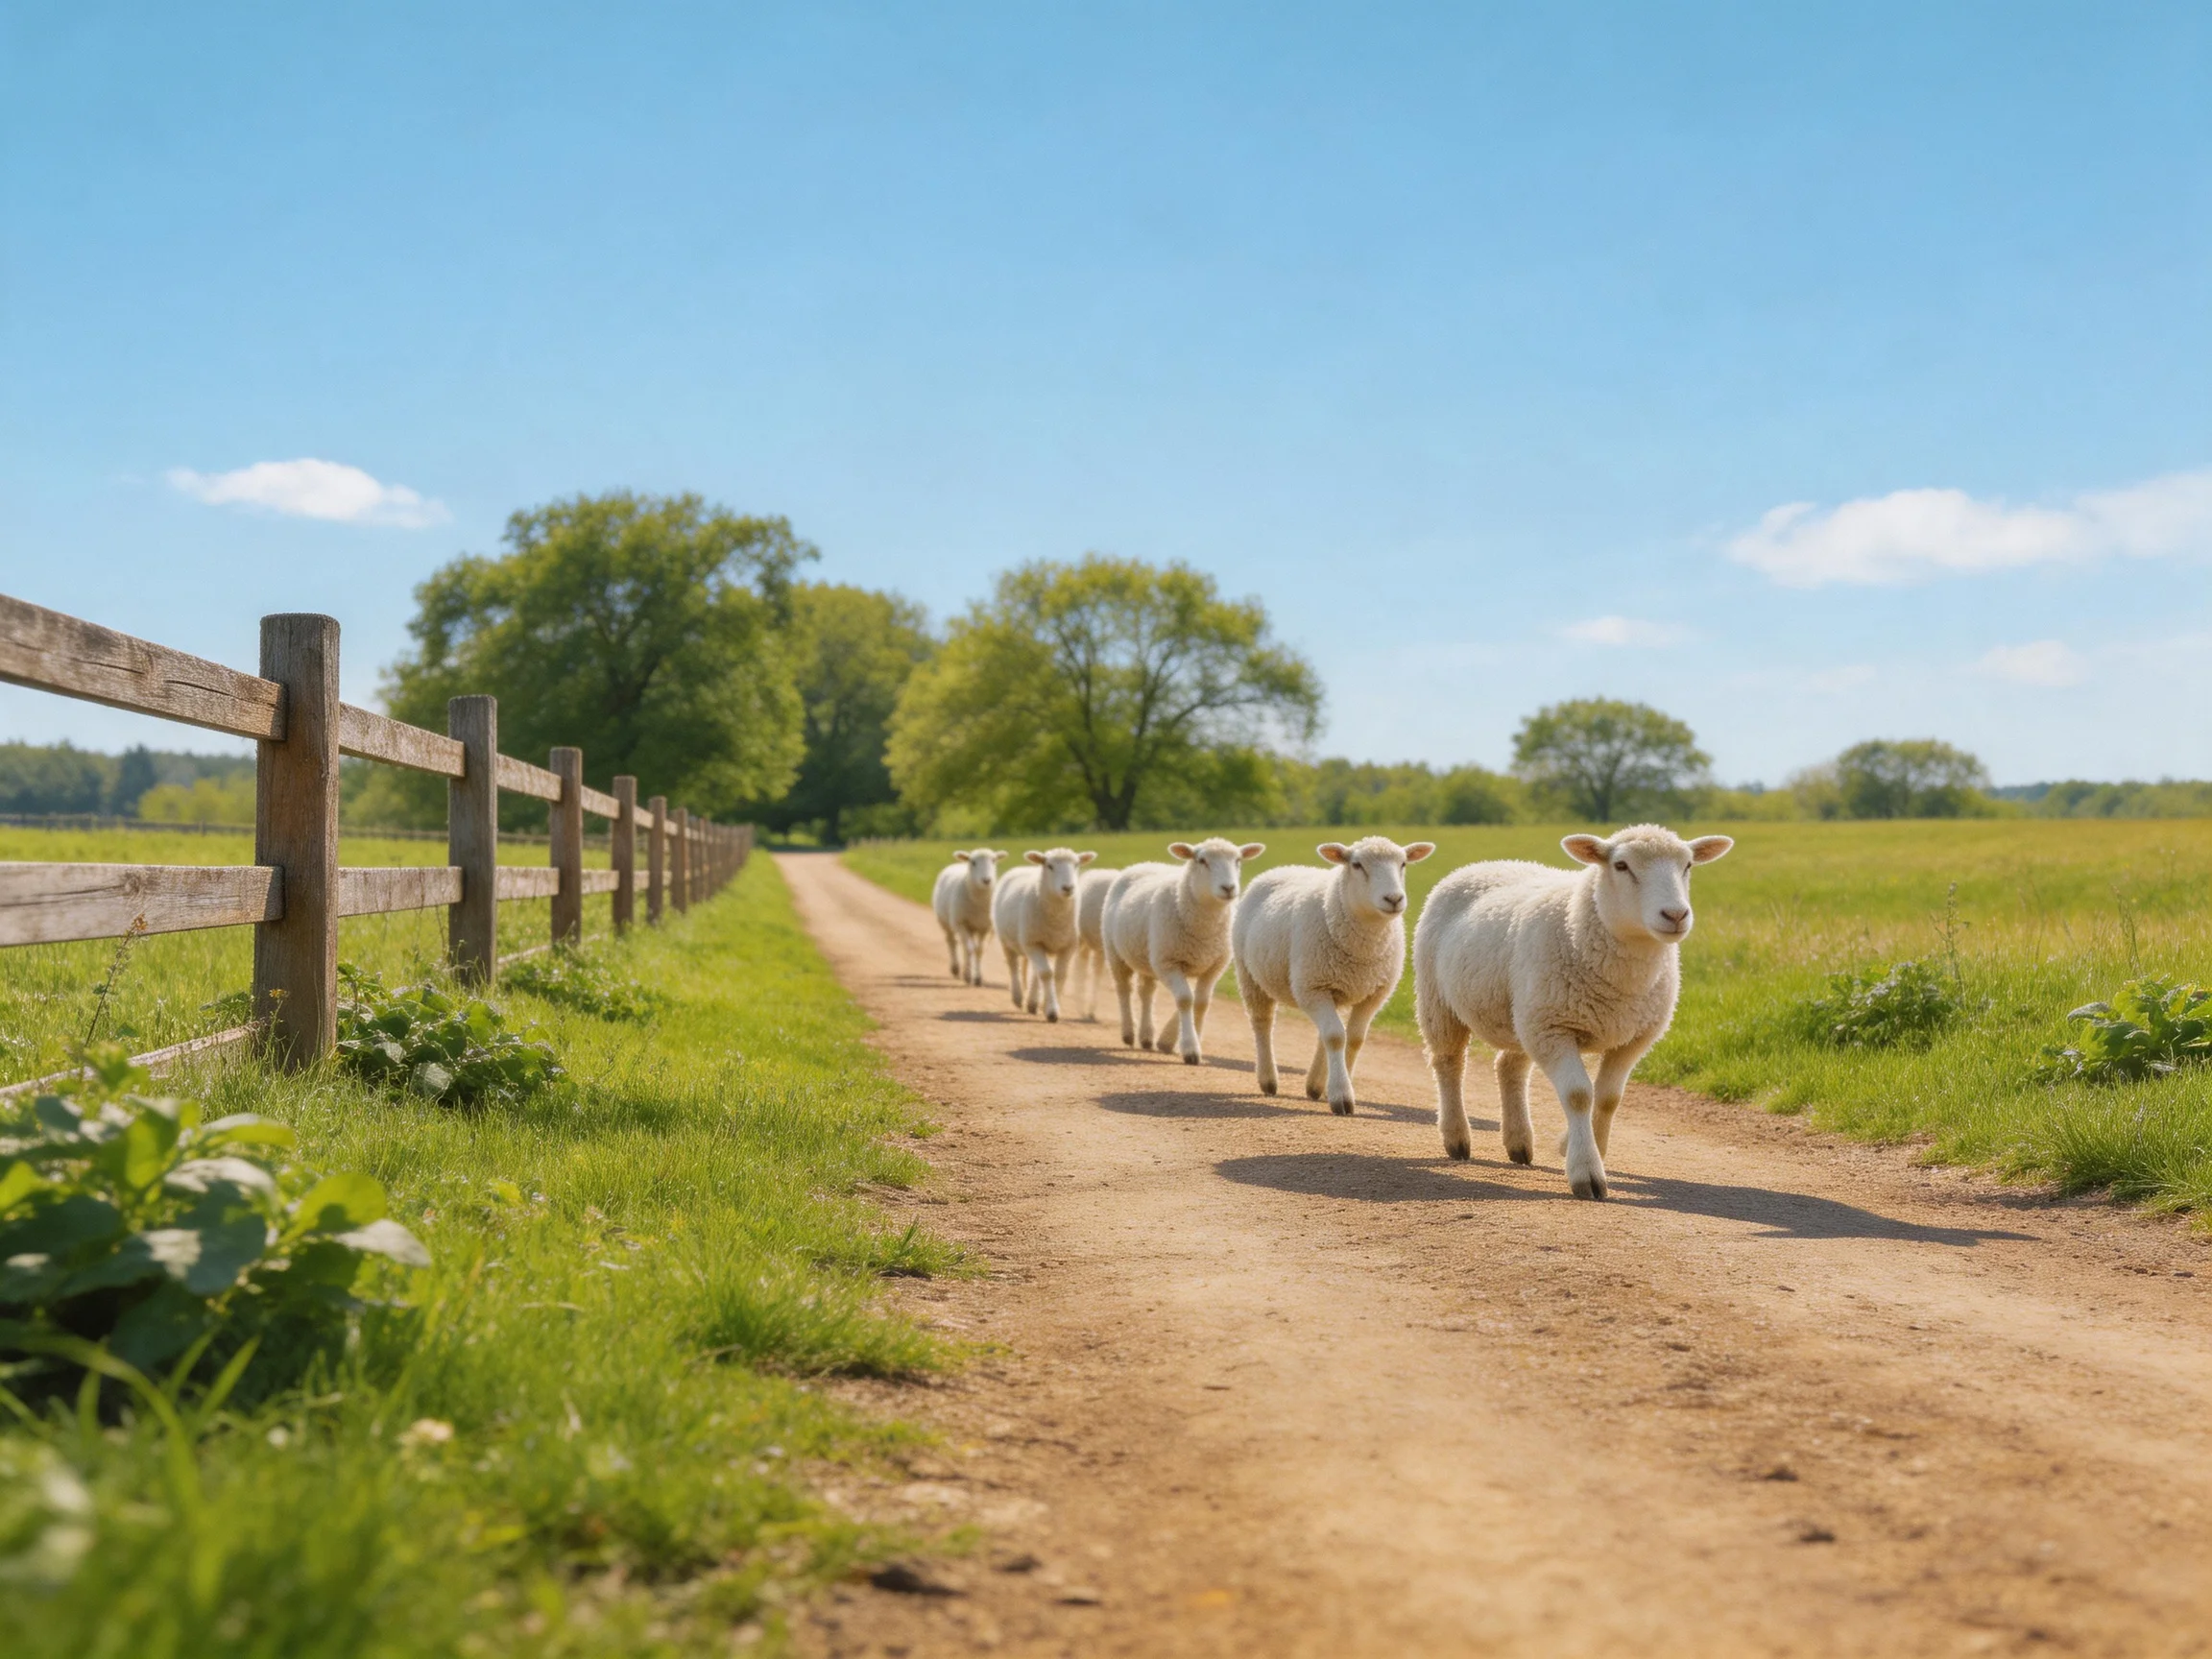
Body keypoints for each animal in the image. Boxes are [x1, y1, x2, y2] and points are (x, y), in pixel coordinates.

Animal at [931, 849, 1008, 985]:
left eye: (994, 860)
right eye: (973, 862)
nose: (986, 880)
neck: (980, 902)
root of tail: (957, 864)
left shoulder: (986, 928)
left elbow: (979, 950)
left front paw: (977, 978)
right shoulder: (961, 923)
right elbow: (969, 949)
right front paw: (968, 975)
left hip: (973, 927)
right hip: (946, 922)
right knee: (952, 942)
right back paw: (956, 968)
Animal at [991, 846, 1098, 1021]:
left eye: (1076, 865)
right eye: (1050, 866)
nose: (1068, 888)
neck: (1057, 919)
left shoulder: (1068, 946)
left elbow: (1059, 975)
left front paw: (1051, 1006)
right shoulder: (1033, 943)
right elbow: (1047, 974)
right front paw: (1051, 1011)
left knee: (1036, 972)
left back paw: (1033, 1003)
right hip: (1007, 940)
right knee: (1013, 966)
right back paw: (1018, 997)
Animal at [1101, 838, 1265, 1064]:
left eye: (1238, 860)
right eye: (1201, 860)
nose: (1229, 888)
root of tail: (1143, 864)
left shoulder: (1214, 967)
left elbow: (1202, 1003)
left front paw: (1193, 1040)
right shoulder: (1168, 963)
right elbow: (1186, 1000)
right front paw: (1190, 1048)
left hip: (1148, 956)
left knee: (1146, 993)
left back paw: (1146, 1036)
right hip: (1116, 953)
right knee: (1124, 989)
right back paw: (1129, 1033)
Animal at [1231, 835, 1436, 1115]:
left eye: (1403, 863)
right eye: (1357, 865)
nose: (1394, 898)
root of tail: (1283, 868)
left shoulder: (1374, 994)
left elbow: (1354, 1039)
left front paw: (1335, 1086)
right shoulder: (1312, 988)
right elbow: (1336, 1037)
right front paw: (1341, 1094)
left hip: (1334, 987)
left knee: (1323, 1032)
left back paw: (1315, 1085)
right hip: (1249, 974)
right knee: (1263, 1022)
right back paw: (1268, 1079)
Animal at [1412, 824, 1733, 1199]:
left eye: (1688, 865)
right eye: (1621, 865)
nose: (1676, 915)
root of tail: (1483, 864)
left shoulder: (1635, 1038)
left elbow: (1609, 1098)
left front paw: (1585, 1146)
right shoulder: (1555, 1029)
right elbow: (1579, 1095)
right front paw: (1586, 1171)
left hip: (1523, 1015)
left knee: (1509, 1068)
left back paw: (1519, 1143)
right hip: (1440, 1000)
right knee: (1448, 1064)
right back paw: (1456, 1138)